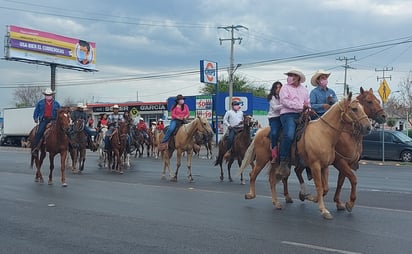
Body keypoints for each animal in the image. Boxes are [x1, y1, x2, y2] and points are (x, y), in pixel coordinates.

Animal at [238, 92, 370, 219]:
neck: (324, 133)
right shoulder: (316, 165)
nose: (368, 127)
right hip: (262, 159)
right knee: (253, 174)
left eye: (363, 108)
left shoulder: (325, 166)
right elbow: (320, 186)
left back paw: (276, 203)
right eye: (354, 109)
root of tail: (259, 132)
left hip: (275, 162)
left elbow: (325, 187)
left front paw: (311, 198)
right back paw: (250, 195)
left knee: (272, 180)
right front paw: (324, 210)